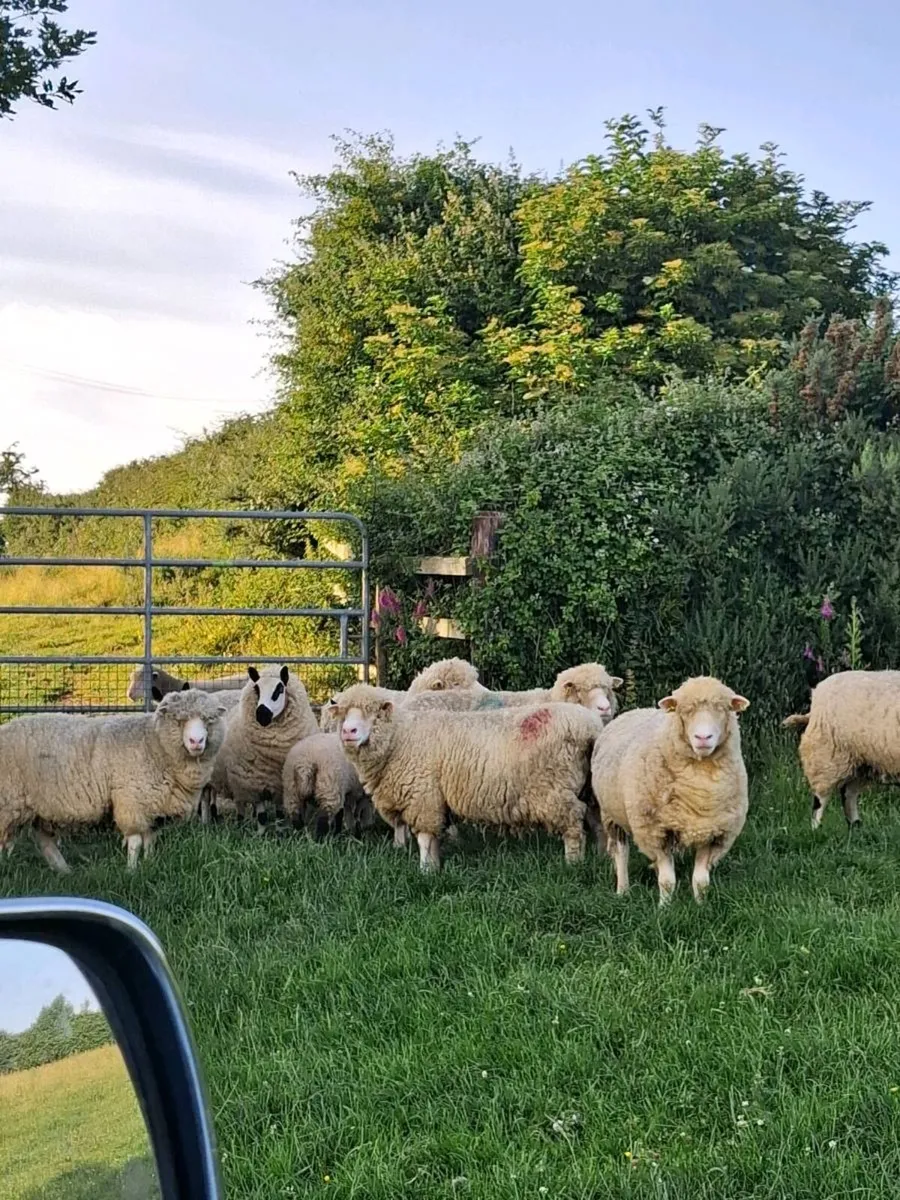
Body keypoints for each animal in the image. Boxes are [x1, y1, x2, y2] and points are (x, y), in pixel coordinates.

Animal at [0, 689, 227, 872]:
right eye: (179, 720)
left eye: (209, 720)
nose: (196, 741)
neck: (154, 743)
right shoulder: (132, 800)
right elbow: (135, 841)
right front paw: (131, 871)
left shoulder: (153, 806)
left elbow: (150, 840)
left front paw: (149, 864)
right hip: (8, 804)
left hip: (40, 807)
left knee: (45, 842)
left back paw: (64, 870)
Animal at [210, 665, 318, 828]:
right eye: (256, 689)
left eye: (280, 689)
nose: (262, 715)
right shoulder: (254, 783)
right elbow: (262, 816)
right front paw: (261, 831)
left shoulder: (280, 785)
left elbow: (279, 813)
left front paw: (280, 830)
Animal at [330, 683, 604, 872]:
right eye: (342, 713)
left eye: (373, 713)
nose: (348, 731)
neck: (400, 736)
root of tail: (591, 726)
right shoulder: (435, 799)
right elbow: (434, 837)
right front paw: (434, 866)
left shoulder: (423, 796)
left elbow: (425, 838)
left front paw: (425, 870)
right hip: (589, 788)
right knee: (597, 819)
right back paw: (600, 854)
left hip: (554, 789)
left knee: (574, 826)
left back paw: (573, 864)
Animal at [590, 676, 750, 906]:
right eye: (685, 710)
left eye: (722, 708)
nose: (703, 737)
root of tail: (634, 710)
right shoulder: (655, 831)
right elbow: (667, 881)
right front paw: (664, 907)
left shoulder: (712, 833)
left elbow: (701, 881)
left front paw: (701, 905)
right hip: (611, 814)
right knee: (621, 854)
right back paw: (623, 890)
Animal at [782, 669, 900, 830]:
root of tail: (817, 692)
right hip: (826, 755)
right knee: (820, 800)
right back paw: (815, 830)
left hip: (861, 762)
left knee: (848, 794)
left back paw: (856, 827)